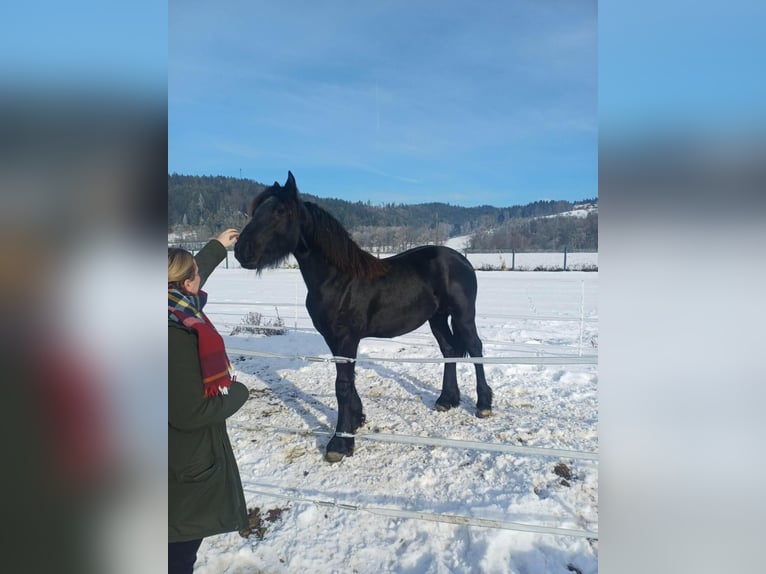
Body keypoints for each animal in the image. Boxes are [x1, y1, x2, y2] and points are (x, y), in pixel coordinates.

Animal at [234, 172, 492, 462]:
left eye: (279, 211)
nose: (241, 250)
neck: (338, 278)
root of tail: (462, 260)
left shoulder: (346, 338)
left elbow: (342, 385)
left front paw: (340, 442)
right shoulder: (334, 339)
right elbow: (347, 381)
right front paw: (357, 419)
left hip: (463, 315)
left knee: (475, 348)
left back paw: (483, 404)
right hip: (437, 318)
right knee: (450, 350)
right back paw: (446, 399)